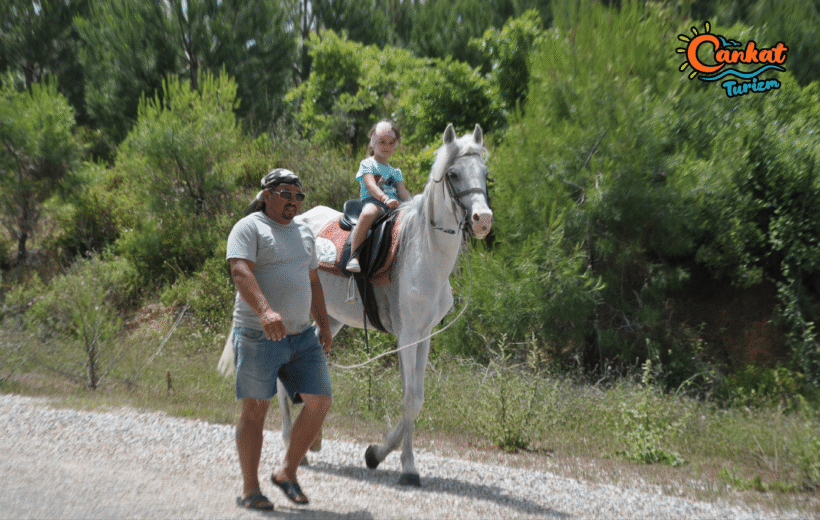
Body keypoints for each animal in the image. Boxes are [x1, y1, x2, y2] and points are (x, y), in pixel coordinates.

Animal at [218, 123, 493, 486]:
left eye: (485, 174)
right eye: (453, 174)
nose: (482, 219)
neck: (424, 252)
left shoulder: (424, 336)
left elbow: (416, 398)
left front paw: (377, 454)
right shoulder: (407, 336)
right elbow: (410, 399)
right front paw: (405, 467)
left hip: (327, 319)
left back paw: (312, 440)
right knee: (280, 377)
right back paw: (294, 440)